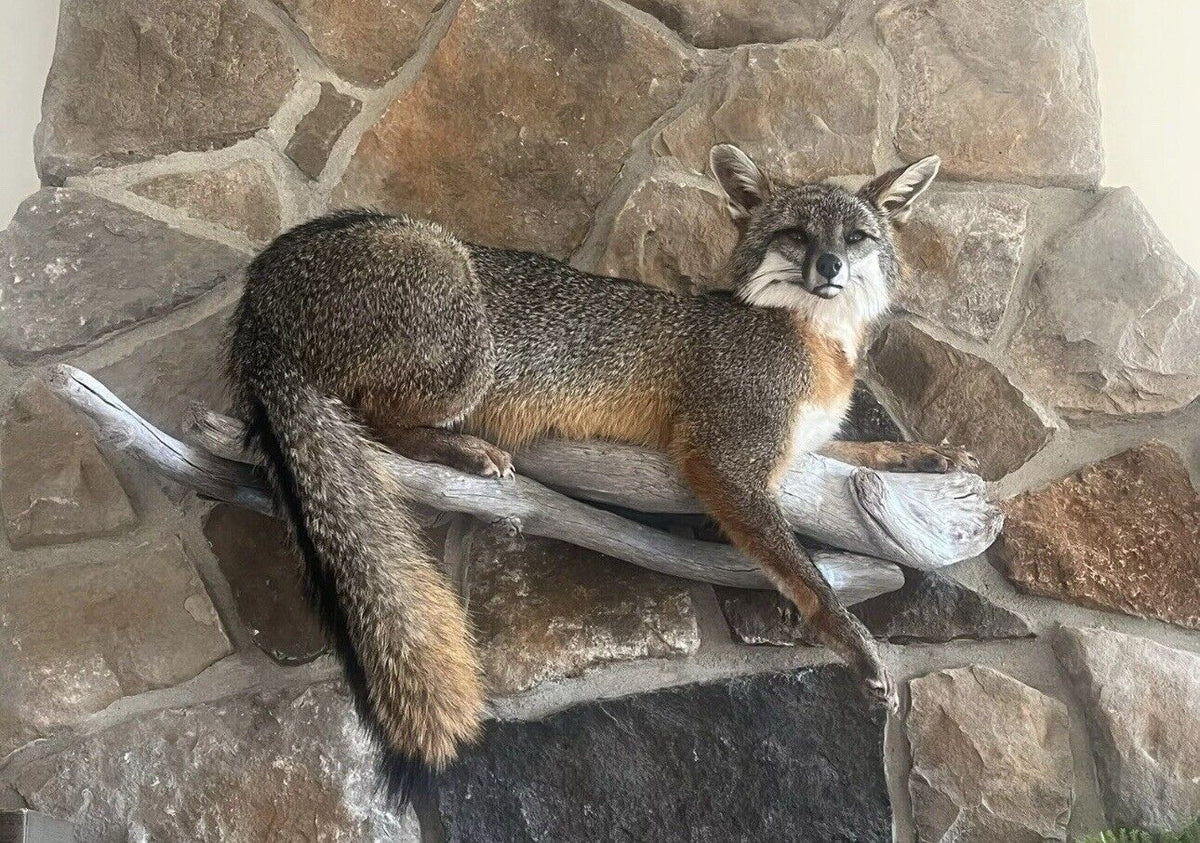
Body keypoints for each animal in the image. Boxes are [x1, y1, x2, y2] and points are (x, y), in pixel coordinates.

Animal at [227, 143, 975, 799]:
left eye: (855, 236)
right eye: (796, 234)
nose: (829, 265)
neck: (817, 342)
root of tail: (261, 284)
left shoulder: (802, 451)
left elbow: (862, 454)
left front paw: (929, 454)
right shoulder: (727, 458)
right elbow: (806, 574)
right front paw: (854, 641)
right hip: (464, 328)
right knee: (370, 418)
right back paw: (464, 451)